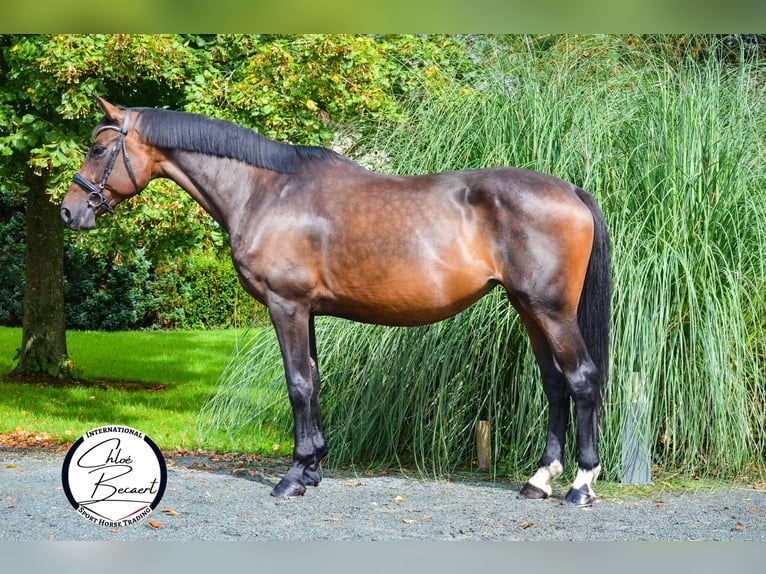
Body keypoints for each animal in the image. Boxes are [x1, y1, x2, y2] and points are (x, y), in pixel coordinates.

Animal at [61, 95, 612, 508]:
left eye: (97, 148)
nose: (69, 212)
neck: (267, 191)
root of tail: (572, 191)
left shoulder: (285, 306)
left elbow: (298, 384)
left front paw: (292, 477)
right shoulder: (305, 311)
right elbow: (314, 381)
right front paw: (312, 468)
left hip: (552, 311)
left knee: (582, 380)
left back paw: (581, 485)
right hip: (529, 310)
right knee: (555, 385)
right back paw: (539, 480)